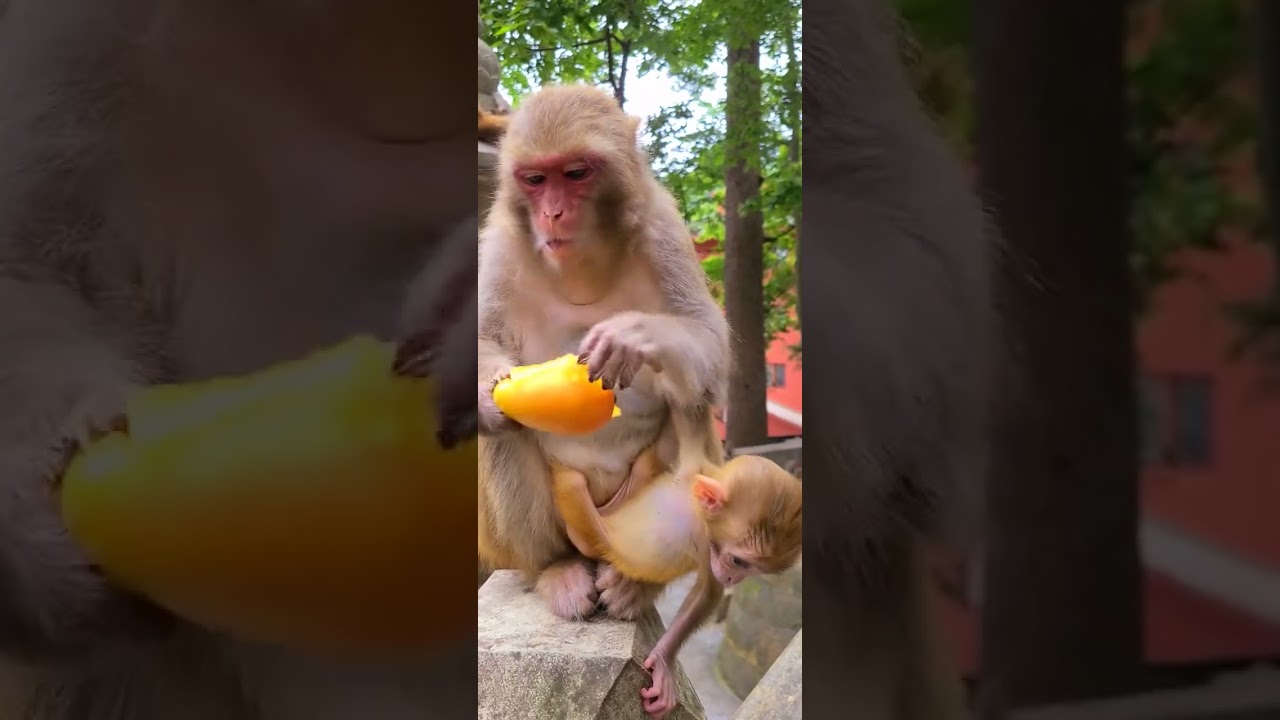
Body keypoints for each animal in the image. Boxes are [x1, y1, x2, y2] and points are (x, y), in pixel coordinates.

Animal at [459, 83, 731, 623]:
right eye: (536, 179)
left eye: (576, 173)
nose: (552, 213)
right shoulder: (498, 246)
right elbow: (480, 346)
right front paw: (483, 393)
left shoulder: (664, 230)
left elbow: (708, 340)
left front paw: (633, 335)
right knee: (504, 432)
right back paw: (556, 568)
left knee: (690, 396)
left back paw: (633, 584)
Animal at [550, 413, 802, 719]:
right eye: (738, 561)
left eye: (751, 570)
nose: (733, 580)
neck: (697, 511)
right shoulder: (693, 472)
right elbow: (688, 421)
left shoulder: (709, 547)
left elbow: (708, 592)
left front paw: (661, 662)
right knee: (578, 501)